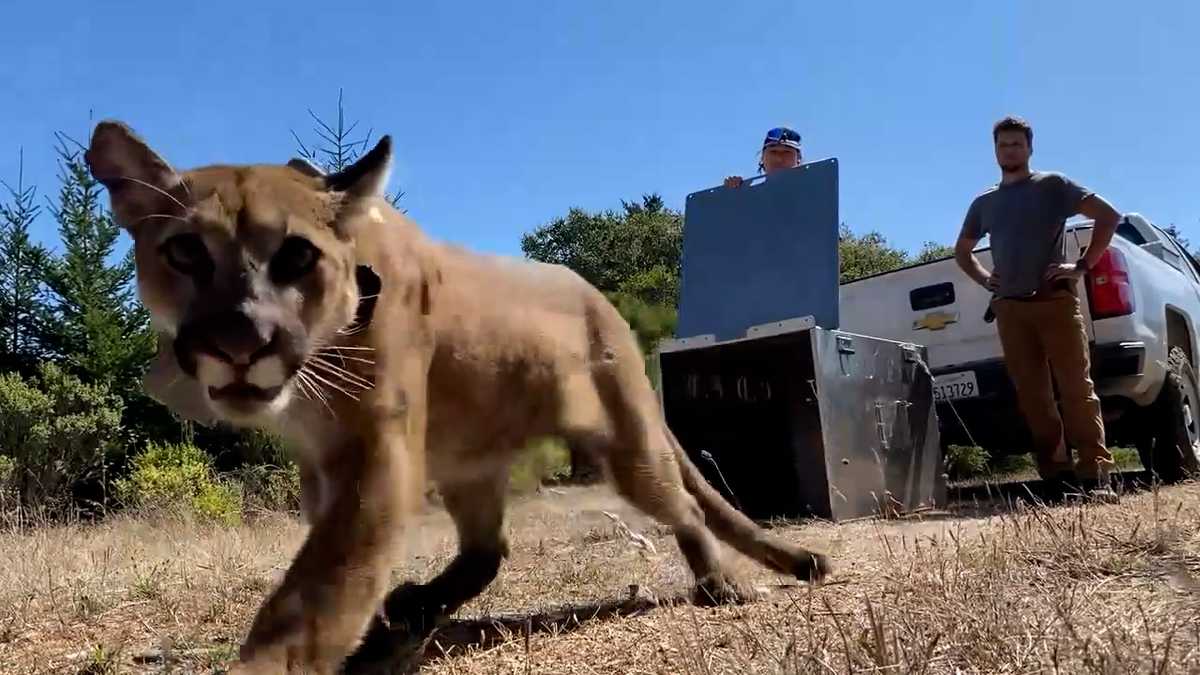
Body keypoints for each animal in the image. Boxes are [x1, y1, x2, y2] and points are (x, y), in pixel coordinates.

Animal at [84, 120, 833, 674]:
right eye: (185, 252)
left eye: (297, 255)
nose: (243, 338)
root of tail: (599, 295)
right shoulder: (325, 462)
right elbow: (343, 571)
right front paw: (378, 619)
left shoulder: (377, 452)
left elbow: (316, 589)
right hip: (471, 463)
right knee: (488, 548)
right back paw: (409, 614)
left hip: (627, 440)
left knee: (683, 507)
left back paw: (721, 583)